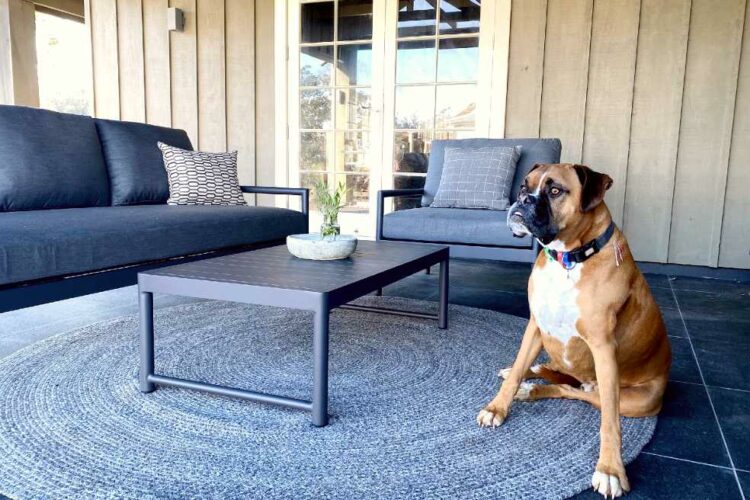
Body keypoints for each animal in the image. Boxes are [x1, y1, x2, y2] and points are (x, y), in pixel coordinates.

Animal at [478, 164, 672, 496]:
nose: (523, 200)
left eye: (555, 191)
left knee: (579, 393)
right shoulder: (535, 325)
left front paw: (610, 469)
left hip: (638, 399)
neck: (568, 259)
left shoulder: (603, 347)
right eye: (523, 186)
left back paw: (535, 389)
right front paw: (497, 407)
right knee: (554, 375)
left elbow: (609, 422)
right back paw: (530, 378)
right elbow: (517, 371)